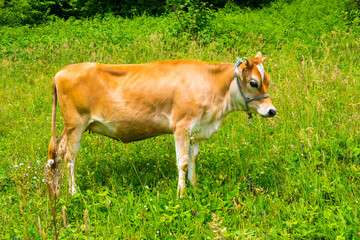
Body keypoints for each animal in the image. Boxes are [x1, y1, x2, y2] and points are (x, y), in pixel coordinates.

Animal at [47, 52, 276, 197]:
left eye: (268, 81)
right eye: (253, 82)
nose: (271, 111)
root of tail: (62, 71)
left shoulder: (196, 130)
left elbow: (193, 160)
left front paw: (194, 187)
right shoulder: (181, 126)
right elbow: (183, 162)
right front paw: (181, 194)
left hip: (69, 127)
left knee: (56, 151)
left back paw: (55, 188)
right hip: (76, 125)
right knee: (69, 156)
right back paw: (73, 192)